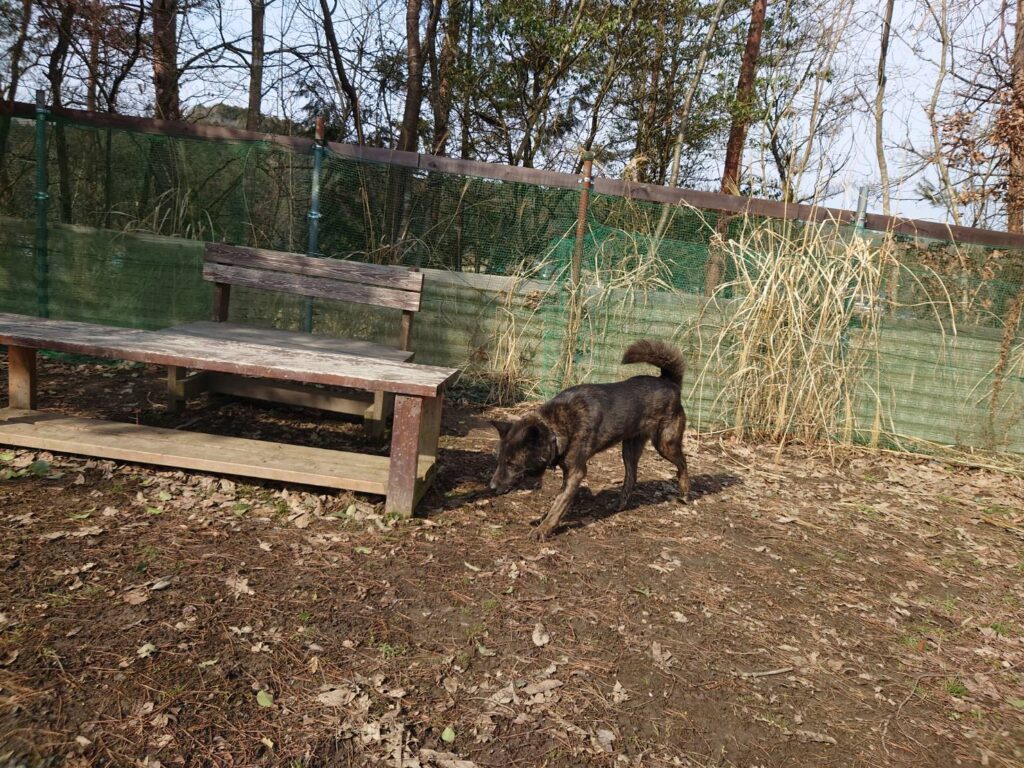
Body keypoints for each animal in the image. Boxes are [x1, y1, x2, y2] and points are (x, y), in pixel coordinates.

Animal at [489, 339, 690, 540]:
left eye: (512, 464)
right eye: (498, 461)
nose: (491, 487)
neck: (556, 427)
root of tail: (668, 381)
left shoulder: (576, 473)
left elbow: (558, 505)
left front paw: (544, 529)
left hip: (665, 444)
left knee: (683, 463)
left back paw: (685, 490)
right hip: (629, 451)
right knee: (631, 477)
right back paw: (620, 505)